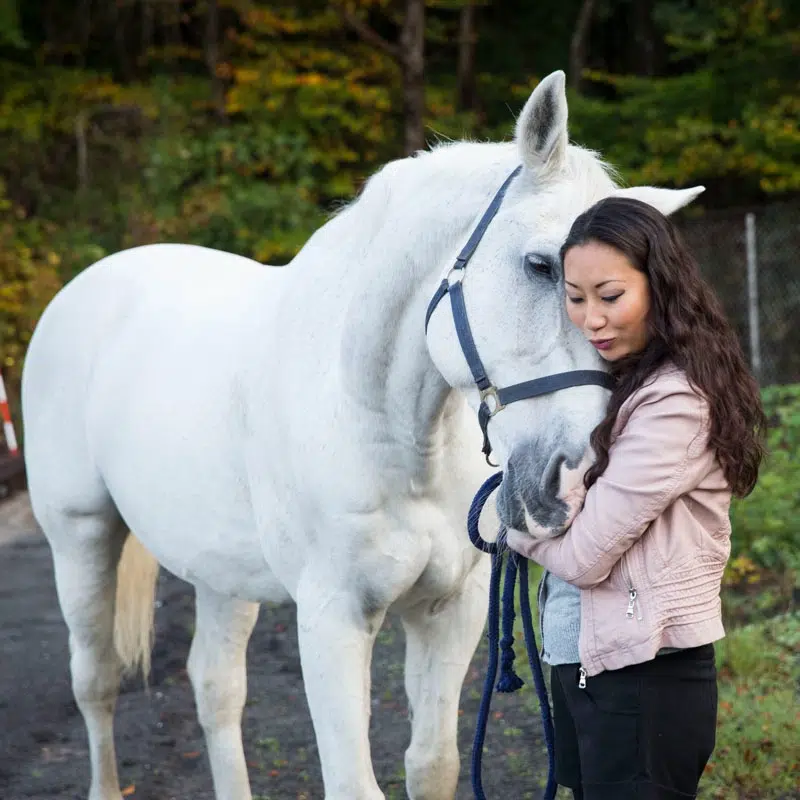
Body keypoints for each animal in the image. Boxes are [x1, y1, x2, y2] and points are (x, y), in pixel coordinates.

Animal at [23, 72, 700, 796]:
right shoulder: (332, 620)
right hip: (81, 537)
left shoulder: (450, 612)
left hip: (219, 571)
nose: (576, 476)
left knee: (214, 688)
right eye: (542, 265)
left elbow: (432, 765)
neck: (385, 432)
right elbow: (354, 781)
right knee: (95, 682)